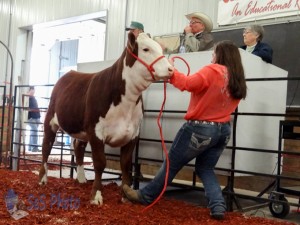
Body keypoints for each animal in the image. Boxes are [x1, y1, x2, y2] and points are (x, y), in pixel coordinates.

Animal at [38, 32, 173, 205]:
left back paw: (81, 179)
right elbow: (100, 163)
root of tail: (69, 73)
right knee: (46, 147)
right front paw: (96, 196)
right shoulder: (96, 131)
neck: (126, 104)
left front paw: (125, 195)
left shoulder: (133, 134)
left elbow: (126, 164)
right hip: (50, 120)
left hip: (82, 130)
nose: (171, 69)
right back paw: (43, 179)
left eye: (160, 49)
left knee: (78, 147)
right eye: (145, 49)